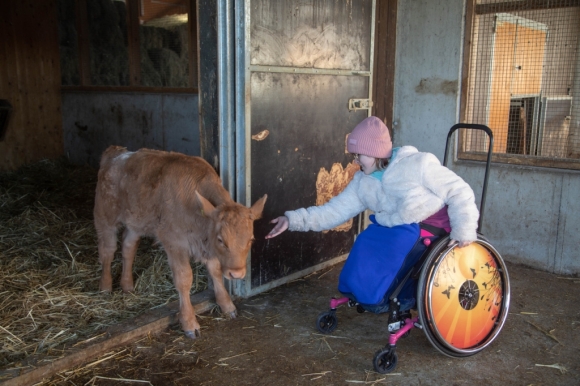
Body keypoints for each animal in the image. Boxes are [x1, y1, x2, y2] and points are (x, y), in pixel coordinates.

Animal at [94, 146, 268, 338]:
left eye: (251, 239)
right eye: (221, 239)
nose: (236, 274)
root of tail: (115, 153)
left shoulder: (206, 246)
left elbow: (215, 271)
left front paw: (227, 305)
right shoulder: (174, 243)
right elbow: (184, 279)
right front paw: (189, 322)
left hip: (136, 222)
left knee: (128, 247)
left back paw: (127, 285)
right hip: (104, 216)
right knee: (108, 250)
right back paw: (105, 287)